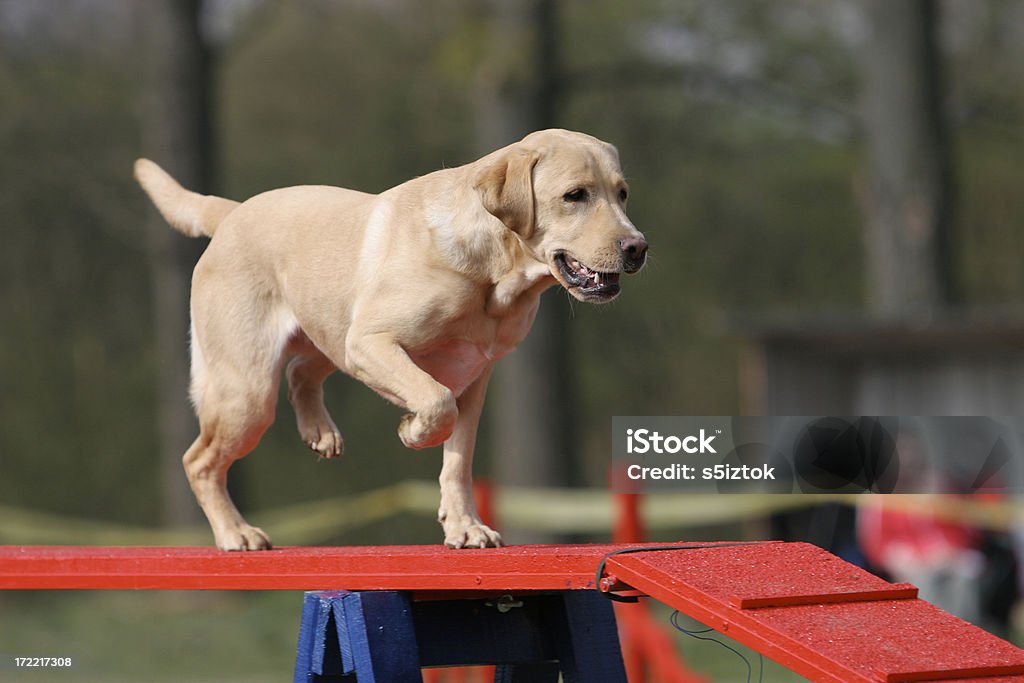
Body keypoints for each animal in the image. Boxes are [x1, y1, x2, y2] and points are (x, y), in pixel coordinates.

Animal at [136, 129, 647, 548]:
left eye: (623, 194)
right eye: (575, 195)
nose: (638, 247)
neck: (494, 274)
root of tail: (233, 212)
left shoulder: (475, 374)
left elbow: (458, 459)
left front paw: (464, 527)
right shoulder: (373, 343)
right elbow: (436, 403)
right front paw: (412, 431)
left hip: (327, 331)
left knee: (302, 371)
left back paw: (319, 432)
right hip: (249, 389)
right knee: (199, 460)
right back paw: (235, 533)